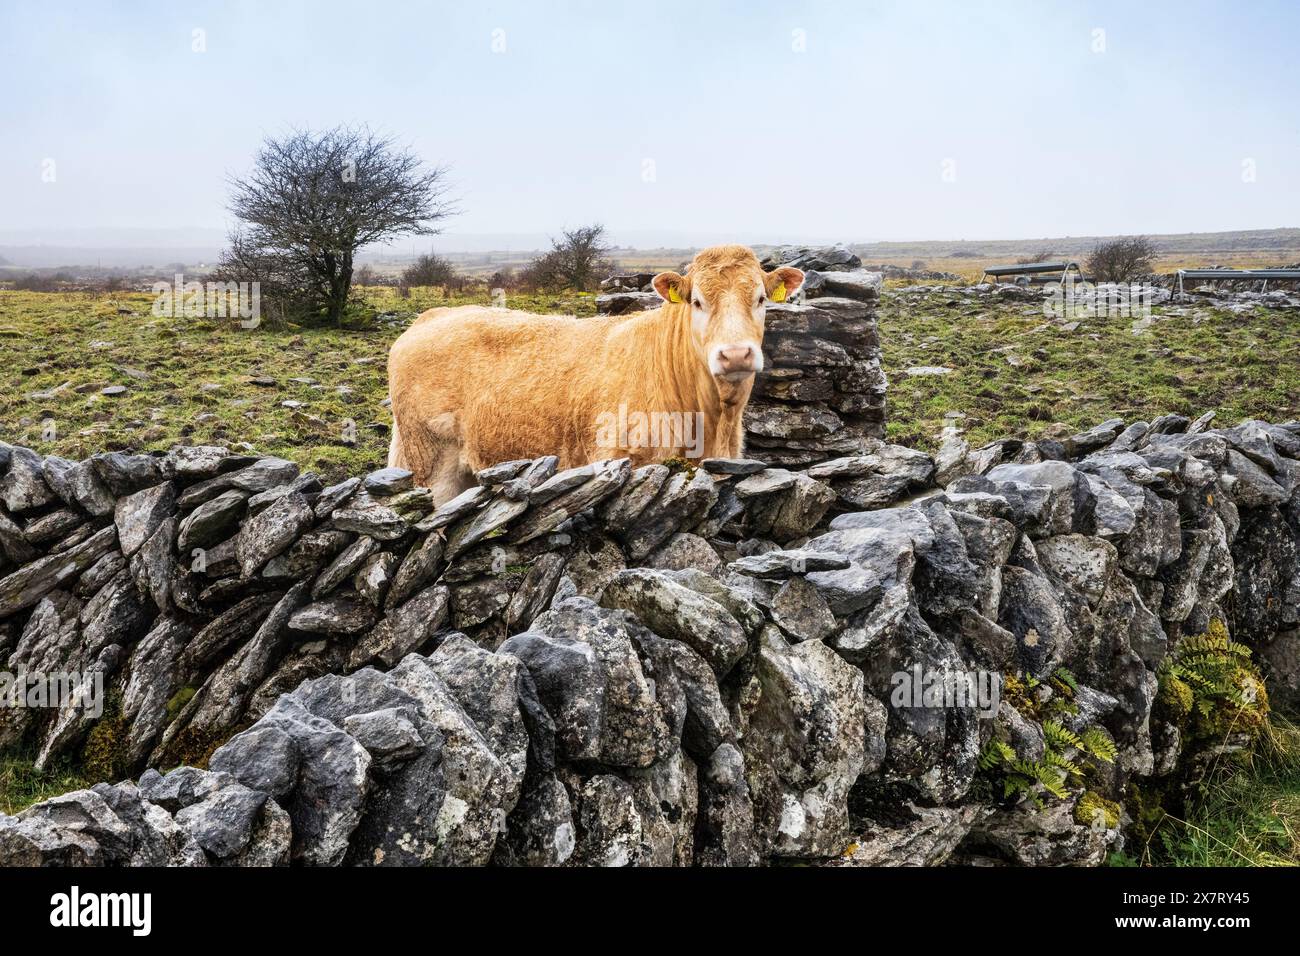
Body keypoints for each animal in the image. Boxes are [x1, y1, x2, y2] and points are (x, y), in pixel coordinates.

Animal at [382, 243, 800, 504]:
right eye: (697, 302)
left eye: (760, 299)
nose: (735, 354)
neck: (714, 422)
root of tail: (434, 315)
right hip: (429, 464)